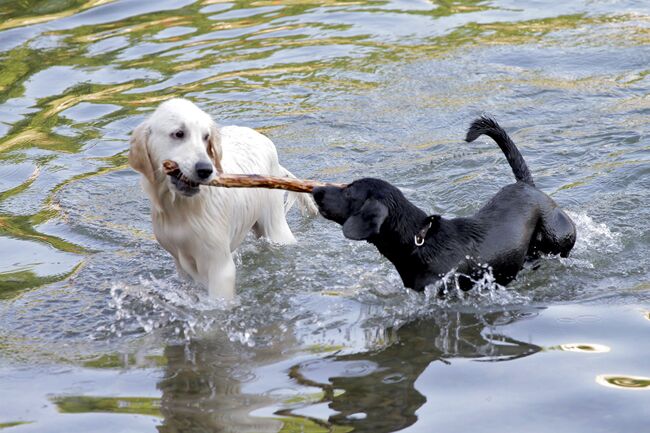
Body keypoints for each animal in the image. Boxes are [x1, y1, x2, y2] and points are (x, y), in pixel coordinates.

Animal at [128, 98, 316, 298]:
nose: (205, 170)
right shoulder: (180, 262)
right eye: (178, 134)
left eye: (206, 137)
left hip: (275, 227)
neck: (183, 208)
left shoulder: (220, 267)